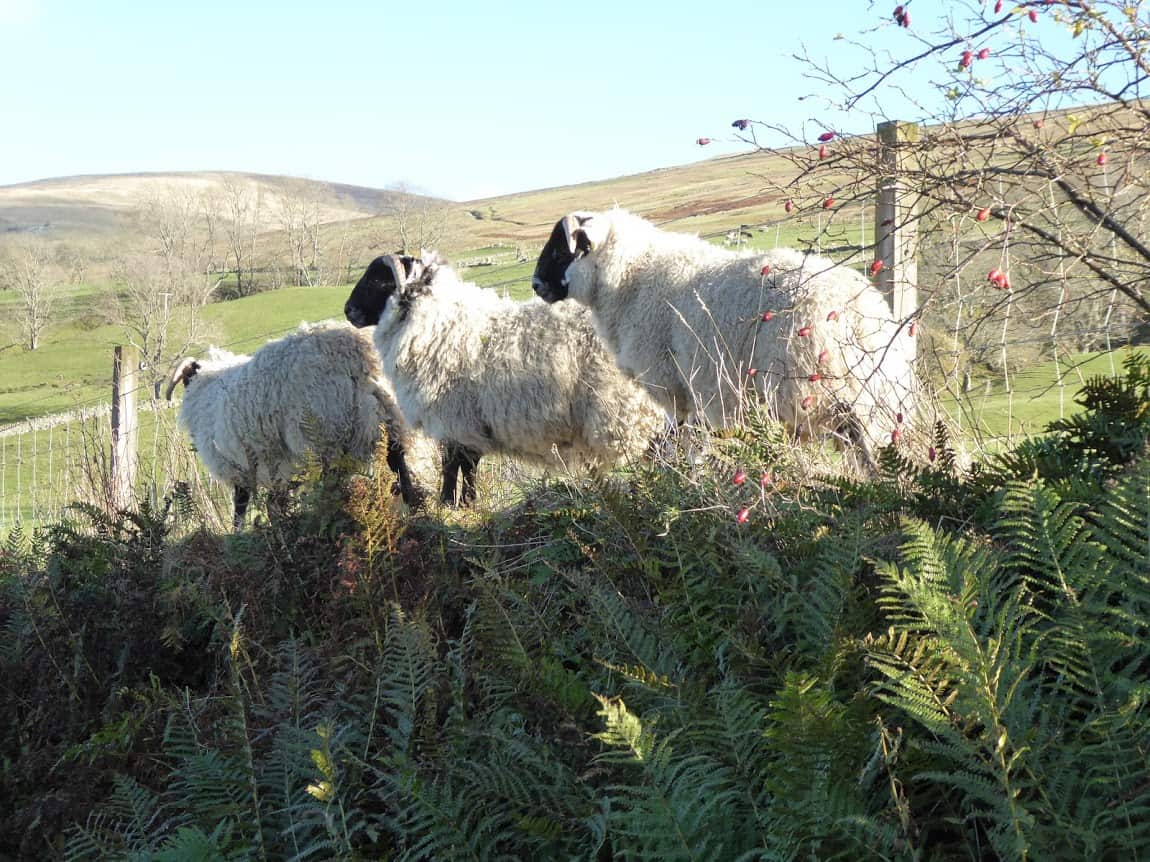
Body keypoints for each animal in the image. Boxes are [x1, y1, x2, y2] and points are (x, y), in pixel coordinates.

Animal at [161, 319, 432, 526]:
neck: (205, 389)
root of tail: (358, 355)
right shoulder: (276, 467)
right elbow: (274, 503)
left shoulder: (238, 469)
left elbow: (240, 508)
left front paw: (238, 534)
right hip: (389, 419)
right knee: (399, 464)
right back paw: (413, 511)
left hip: (322, 435)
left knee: (333, 487)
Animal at [340, 249, 667, 505]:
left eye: (378, 279)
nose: (348, 310)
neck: (438, 322)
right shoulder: (471, 420)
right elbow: (470, 463)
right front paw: (467, 501)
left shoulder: (454, 415)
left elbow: (453, 462)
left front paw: (448, 502)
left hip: (625, 405)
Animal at [529, 208, 915, 466]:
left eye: (561, 250)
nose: (535, 284)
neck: (630, 276)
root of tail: (861, 312)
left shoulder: (672, 385)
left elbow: (682, 436)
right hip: (867, 395)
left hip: (808, 387)